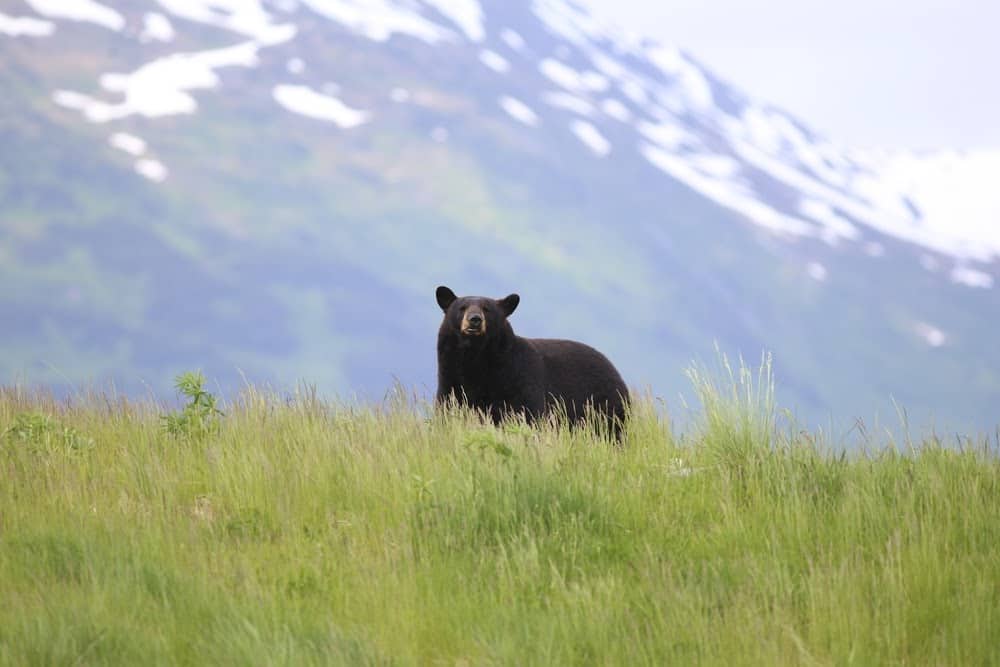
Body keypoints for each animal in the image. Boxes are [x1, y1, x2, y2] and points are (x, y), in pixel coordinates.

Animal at [434, 286, 628, 438]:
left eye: (487, 309)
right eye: (462, 308)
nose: (475, 319)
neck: (475, 358)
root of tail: (615, 370)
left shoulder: (519, 377)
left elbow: (529, 414)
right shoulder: (450, 379)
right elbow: (447, 410)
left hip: (603, 406)